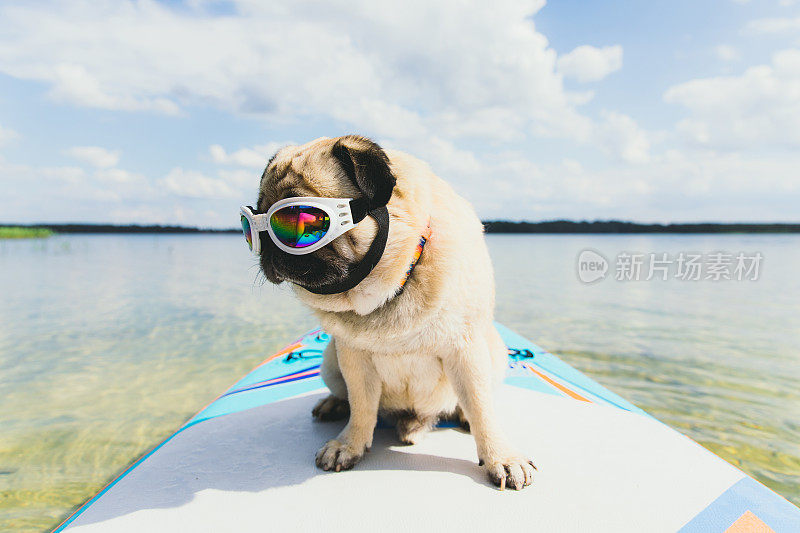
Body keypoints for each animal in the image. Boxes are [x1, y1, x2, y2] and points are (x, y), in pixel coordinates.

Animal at [253, 135, 536, 488]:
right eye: (253, 223)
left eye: (301, 223)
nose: (269, 246)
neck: (391, 287)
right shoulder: (354, 357)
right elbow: (362, 407)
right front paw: (349, 445)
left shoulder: (466, 350)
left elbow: (482, 409)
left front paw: (501, 457)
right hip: (331, 359)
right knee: (348, 397)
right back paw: (335, 404)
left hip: (493, 353)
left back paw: (460, 415)